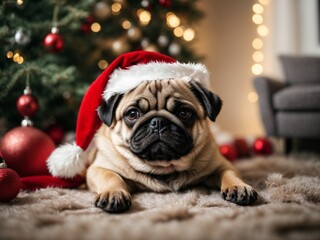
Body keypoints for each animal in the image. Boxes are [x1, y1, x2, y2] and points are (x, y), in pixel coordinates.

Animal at [85, 78, 258, 212]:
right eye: (133, 114)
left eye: (184, 113)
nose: (158, 122)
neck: (163, 167)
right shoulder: (98, 169)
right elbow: (111, 176)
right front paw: (113, 193)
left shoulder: (222, 164)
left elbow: (229, 173)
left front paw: (239, 187)